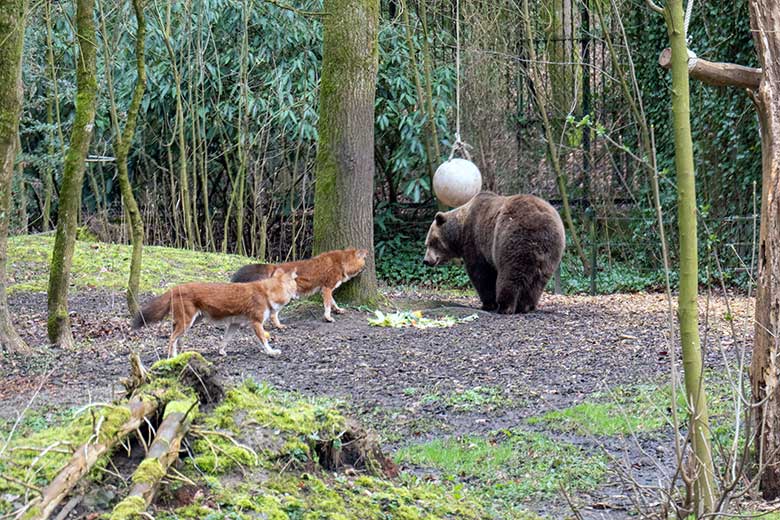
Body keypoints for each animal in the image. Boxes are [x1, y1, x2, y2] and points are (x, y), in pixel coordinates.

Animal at [424, 191, 564, 312]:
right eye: (427, 243)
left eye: (431, 242)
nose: (426, 260)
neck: (460, 232)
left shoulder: (475, 241)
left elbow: (481, 274)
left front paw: (488, 304)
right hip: (550, 252)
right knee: (538, 281)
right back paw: (526, 306)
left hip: (512, 238)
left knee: (509, 273)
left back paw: (505, 306)